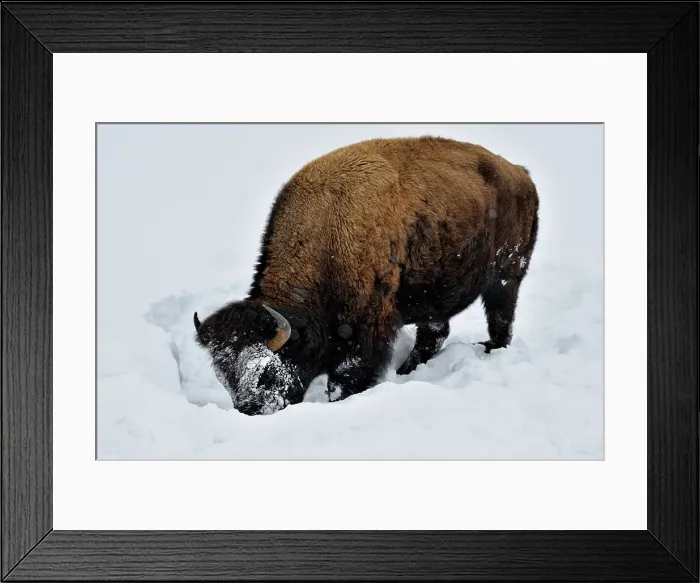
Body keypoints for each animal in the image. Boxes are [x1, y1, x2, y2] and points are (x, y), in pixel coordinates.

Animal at [194, 136, 539, 415]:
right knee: (435, 332)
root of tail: (520, 173)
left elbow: (346, 378)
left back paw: (490, 348)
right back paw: (406, 370)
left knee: (501, 318)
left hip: (506, 276)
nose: (250, 410)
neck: (327, 235)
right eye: (225, 377)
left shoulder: (365, 331)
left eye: (265, 372)